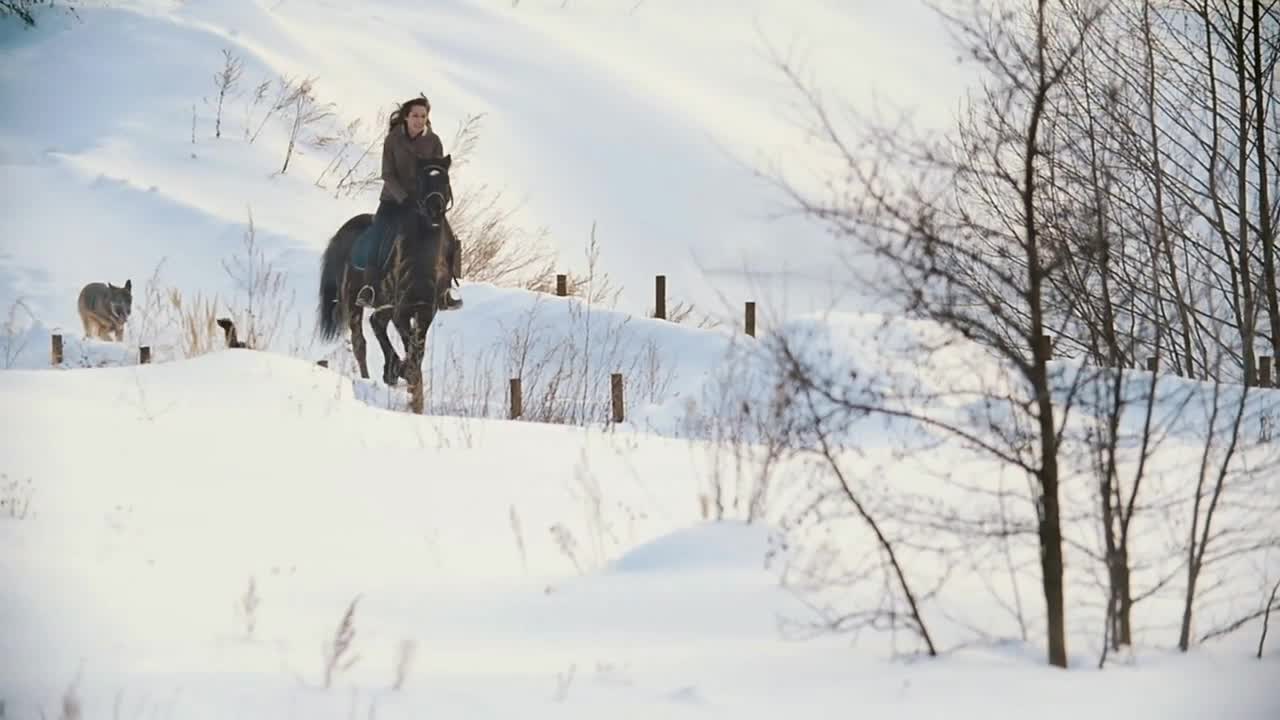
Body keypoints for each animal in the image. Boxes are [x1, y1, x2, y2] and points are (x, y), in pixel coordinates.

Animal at [316, 155, 453, 389]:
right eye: (423, 181)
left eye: (445, 180)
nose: (435, 209)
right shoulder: (401, 311)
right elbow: (409, 343)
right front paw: (403, 371)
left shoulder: (426, 310)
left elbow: (418, 347)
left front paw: (403, 372)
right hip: (354, 299)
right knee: (360, 341)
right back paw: (369, 377)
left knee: (376, 323)